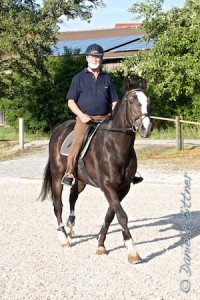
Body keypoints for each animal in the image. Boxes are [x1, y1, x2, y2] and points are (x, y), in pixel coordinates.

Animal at [38, 86, 152, 262]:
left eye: (148, 101)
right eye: (132, 101)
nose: (147, 128)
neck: (115, 145)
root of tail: (58, 130)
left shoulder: (123, 188)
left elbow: (110, 215)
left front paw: (100, 244)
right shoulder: (107, 186)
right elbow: (121, 215)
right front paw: (132, 250)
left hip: (80, 180)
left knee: (72, 197)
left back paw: (70, 227)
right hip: (57, 176)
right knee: (58, 205)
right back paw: (63, 237)